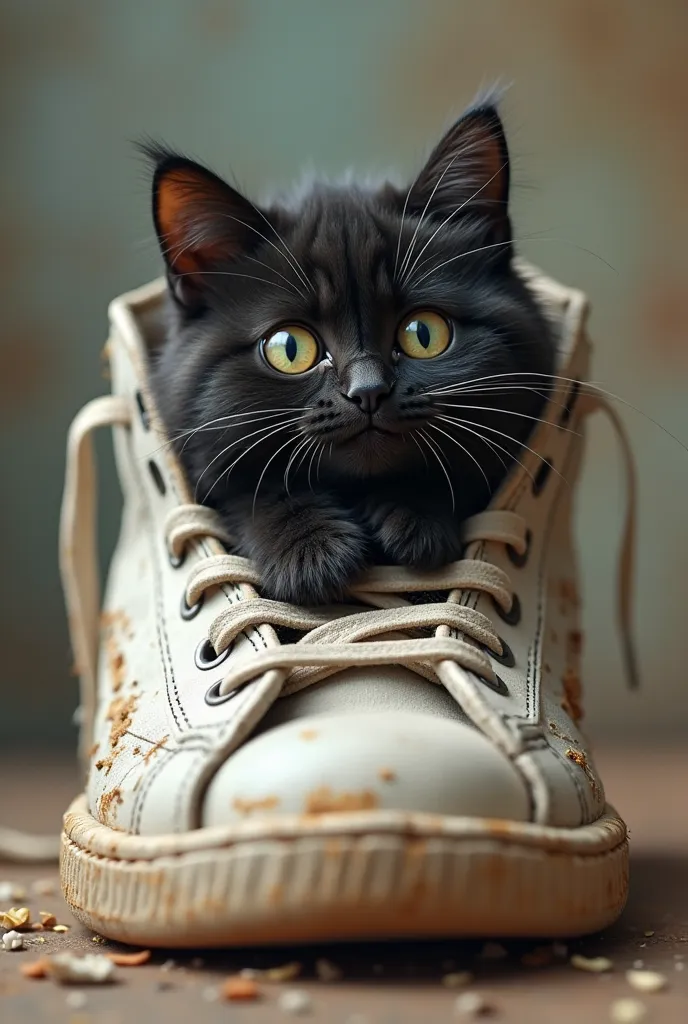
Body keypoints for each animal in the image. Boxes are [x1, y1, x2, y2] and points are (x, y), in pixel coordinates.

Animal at [145, 99, 552, 602]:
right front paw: (311, 555)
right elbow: (250, 488)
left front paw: (414, 525)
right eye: (290, 348)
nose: (369, 391)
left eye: (423, 333)